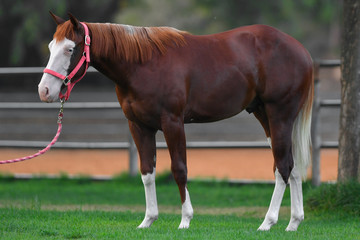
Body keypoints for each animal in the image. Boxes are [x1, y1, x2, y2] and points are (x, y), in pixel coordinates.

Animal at [38, 12, 312, 231]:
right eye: (51, 46)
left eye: (70, 49)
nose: (44, 91)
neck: (142, 64)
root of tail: (302, 51)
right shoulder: (139, 126)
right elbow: (147, 172)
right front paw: (148, 220)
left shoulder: (172, 123)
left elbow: (179, 170)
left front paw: (185, 220)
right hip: (265, 115)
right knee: (292, 166)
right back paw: (293, 223)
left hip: (280, 114)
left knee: (283, 166)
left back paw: (268, 222)